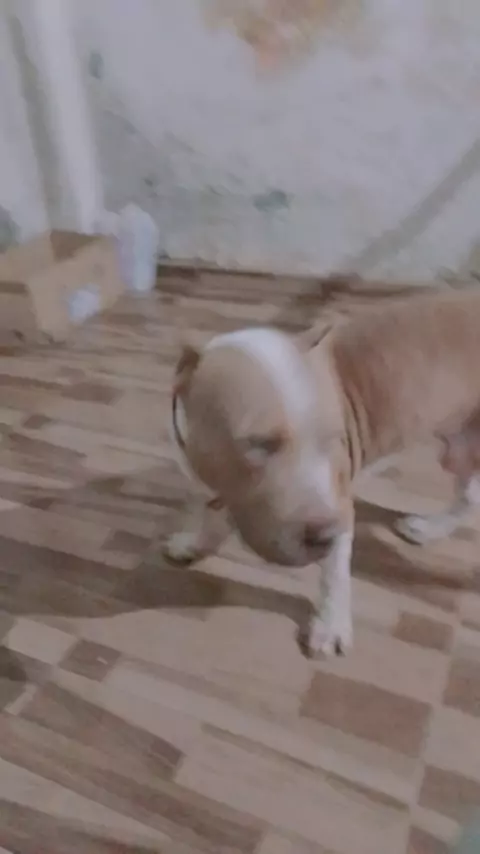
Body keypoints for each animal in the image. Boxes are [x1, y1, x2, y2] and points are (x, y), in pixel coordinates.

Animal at [165, 288, 480, 657]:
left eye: (332, 437)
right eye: (261, 443)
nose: (325, 535)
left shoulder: (338, 504)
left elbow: (335, 574)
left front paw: (330, 625)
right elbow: (206, 506)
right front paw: (194, 539)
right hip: (460, 445)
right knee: (470, 495)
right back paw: (430, 528)